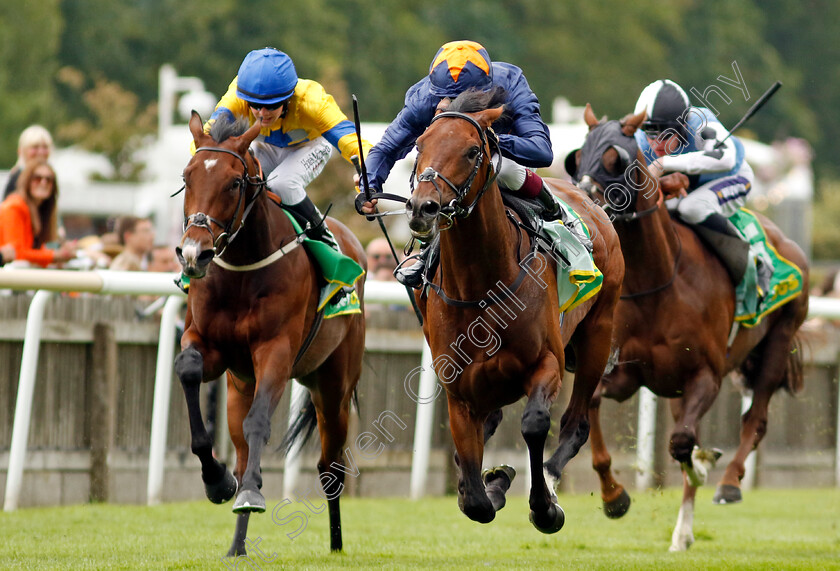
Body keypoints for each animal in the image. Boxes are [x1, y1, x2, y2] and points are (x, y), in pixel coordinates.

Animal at [174, 113, 364, 560]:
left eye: (234, 183)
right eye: (187, 177)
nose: (194, 254)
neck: (243, 267)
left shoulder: (275, 351)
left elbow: (260, 421)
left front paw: (249, 494)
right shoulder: (210, 346)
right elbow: (188, 370)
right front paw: (217, 480)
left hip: (333, 386)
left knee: (330, 466)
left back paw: (335, 544)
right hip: (238, 386)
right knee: (243, 451)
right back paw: (237, 545)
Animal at [406, 88, 624, 532]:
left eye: (472, 150)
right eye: (419, 145)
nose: (423, 208)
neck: (480, 285)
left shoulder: (547, 363)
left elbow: (535, 423)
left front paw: (543, 506)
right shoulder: (459, 389)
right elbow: (473, 493)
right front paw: (489, 482)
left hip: (597, 336)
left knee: (576, 423)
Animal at [568, 105, 812, 552]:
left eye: (616, 160)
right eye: (576, 158)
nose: (584, 205)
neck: (660, 282)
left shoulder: (706, 377)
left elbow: (683, 442)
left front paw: (702, 465)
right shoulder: (624, 375)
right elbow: (591, 407)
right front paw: (614, 496)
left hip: (777, 340)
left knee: (755, 420)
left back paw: (728, 483)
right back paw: (682, 532)